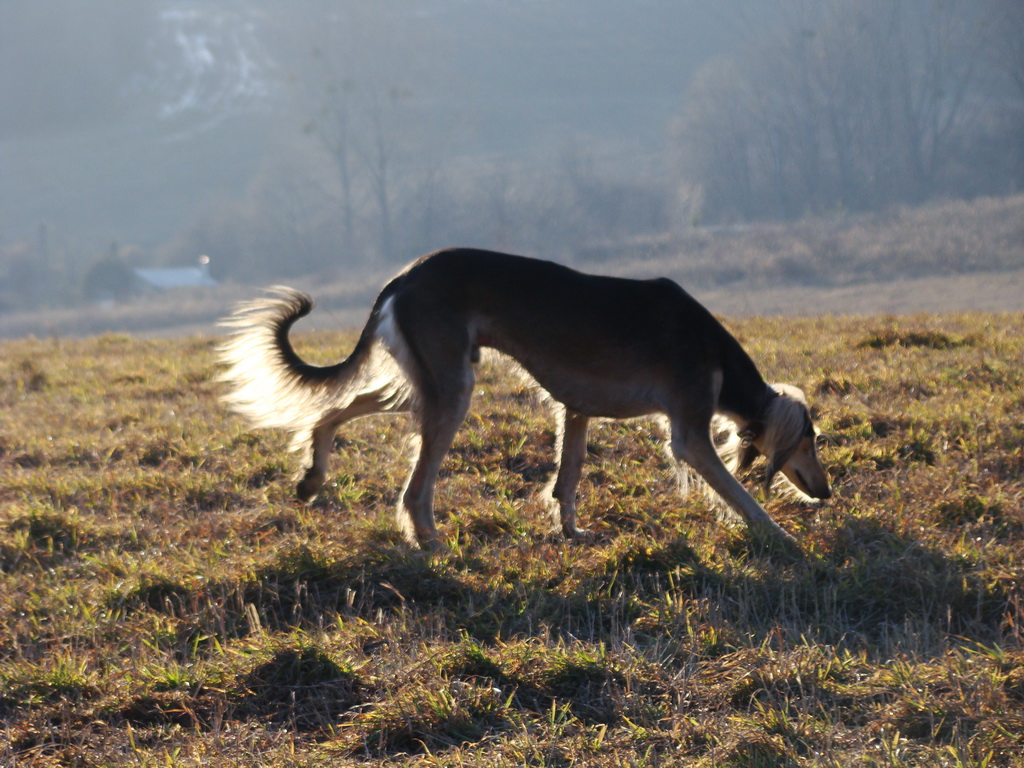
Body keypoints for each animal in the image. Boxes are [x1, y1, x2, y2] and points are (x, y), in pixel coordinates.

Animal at [218, 249, 831, 548]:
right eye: (813, 441)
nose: (826, 493)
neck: (715, 353)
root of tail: (404, 276)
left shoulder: (577, 409)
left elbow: (569, 476)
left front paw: (571, 532)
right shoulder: (689, 435)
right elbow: (738, 494)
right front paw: (781, 537)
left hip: (427, 381)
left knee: (333, 410)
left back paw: (312, 477)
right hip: (452, 390)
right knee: (416, 489)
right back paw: (428, 540)